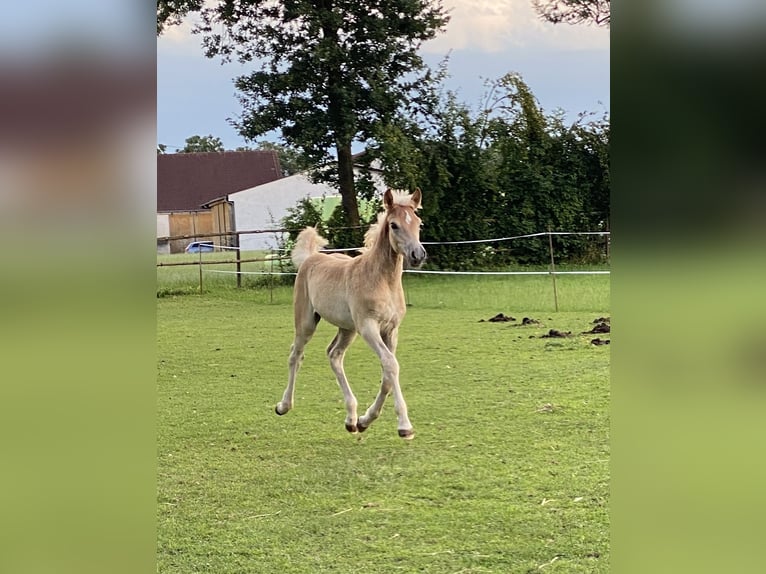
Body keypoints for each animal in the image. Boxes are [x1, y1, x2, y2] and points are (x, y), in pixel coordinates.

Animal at [278, 189, 432, 440]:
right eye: (394, 225)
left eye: (418, 223)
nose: (417, 255)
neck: (382, 280)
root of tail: (311, 258)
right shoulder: (368, 326)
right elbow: (391, 365)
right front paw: (404, 426)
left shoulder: (391, 329)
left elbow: (387, 374)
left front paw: (364, 420)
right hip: (307, 322)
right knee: (295, 355)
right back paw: (283, 405)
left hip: (347, 329)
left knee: (334, 355)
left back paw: (351, 418)